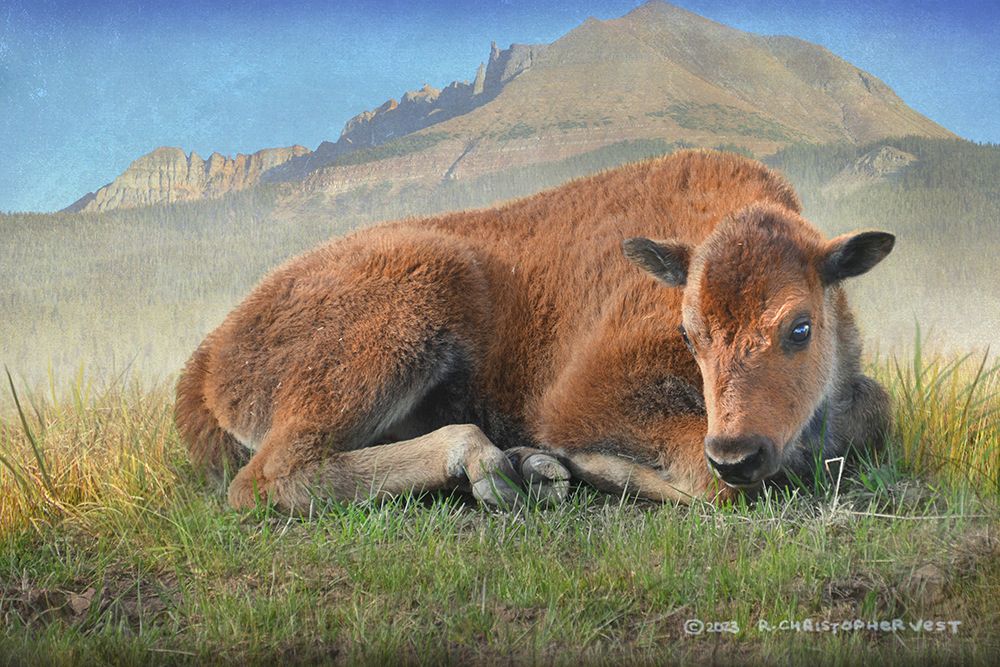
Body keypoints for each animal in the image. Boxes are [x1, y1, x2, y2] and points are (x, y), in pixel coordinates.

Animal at [175, 150, 893, 512]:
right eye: (689, 334)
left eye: (800, 327)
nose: (738, 451)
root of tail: (209, 354)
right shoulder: (582, 394)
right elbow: (710, 483)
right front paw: (570, 463)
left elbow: (875, 408)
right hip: (417, 301)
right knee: (269, 477)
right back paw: (492, 462)